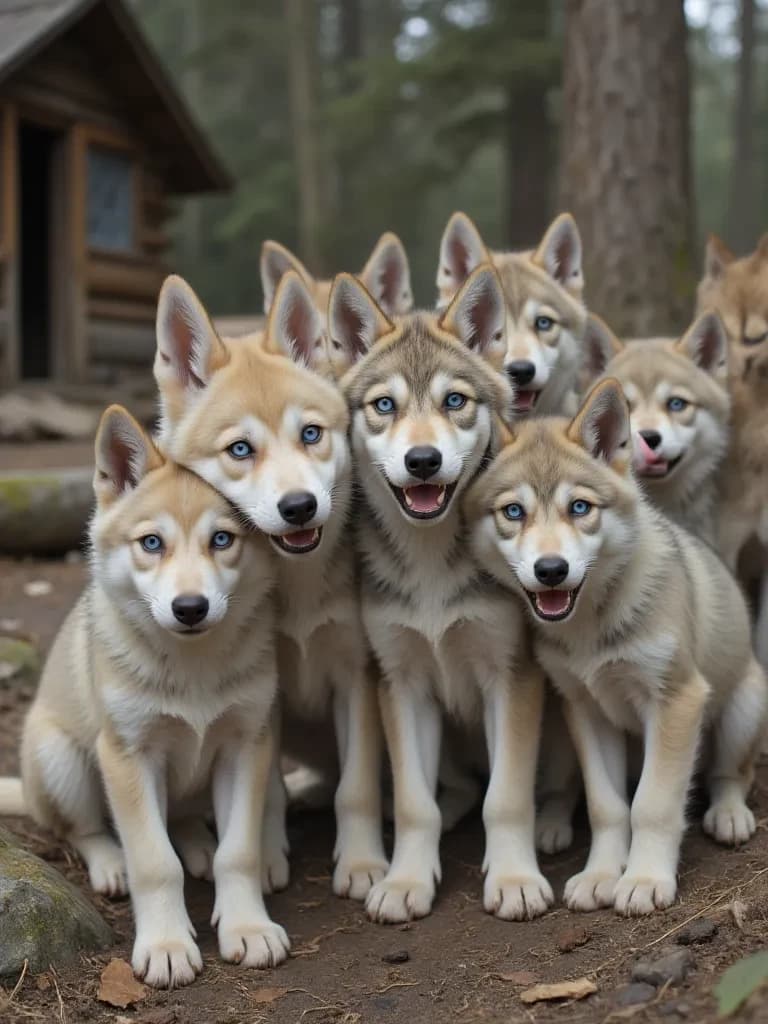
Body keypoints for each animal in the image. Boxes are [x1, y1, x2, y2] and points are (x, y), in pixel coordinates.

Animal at [0, 406, 286, 986]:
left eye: (222, 540)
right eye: (151, 543)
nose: (190, 608)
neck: (193, 667)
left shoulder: (247, 744)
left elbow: (238, 852)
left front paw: (247, 927)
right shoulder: (128, 755)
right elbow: (155, 862)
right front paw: (166, 944)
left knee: (185, 821)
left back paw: (199, 843)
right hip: (60, 757)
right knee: (83, 830)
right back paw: (112, 863)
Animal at [153, 270, 387, 901]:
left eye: (310, 434)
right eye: (241, 449)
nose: (299, 506)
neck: (296, 587)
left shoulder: (355, 674)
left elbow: (357, 786)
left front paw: (362, 862)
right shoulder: (267, 698)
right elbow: (264, 796)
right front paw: (263, 858)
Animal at [330, 264, 553, 924]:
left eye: (454, 401)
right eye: (384, 405)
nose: (423, 460)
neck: (431, 565)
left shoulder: (513, 677)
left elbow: (506, 797)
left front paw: (514, 878)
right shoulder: (401, 682)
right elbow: (414, 802)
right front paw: (406, 880)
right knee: (450, 791)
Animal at [466, 377, 768, 916]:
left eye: (580, 508)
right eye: (513, 512)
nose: (551, 570)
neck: (592, 629)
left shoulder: (678, 701)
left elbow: (652, 804)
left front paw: (644, 878)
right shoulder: (587, 709)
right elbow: (608, 807)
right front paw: (602, 874)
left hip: (741, 708)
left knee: (731, 774)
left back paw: (729, 814)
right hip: (559, 734)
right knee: (563, 790)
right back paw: (551, 826)